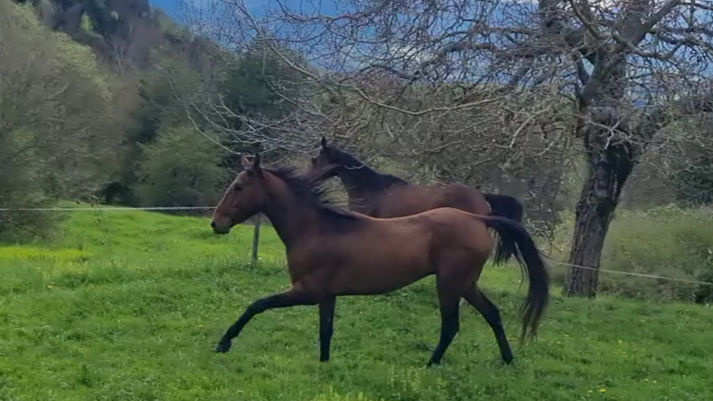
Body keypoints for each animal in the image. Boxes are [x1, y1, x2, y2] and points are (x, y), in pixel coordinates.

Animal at [210, 153, 550, 367]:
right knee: (492, 314)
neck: (316, 228)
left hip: (450, 284)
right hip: (466, 284)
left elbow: (256, 305)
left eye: (239, 186)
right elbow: (325, 330)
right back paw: (507, 360)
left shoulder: (307, 291)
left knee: (451, 325)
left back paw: (430, 364)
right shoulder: (327, 296)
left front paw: (224, 343)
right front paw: (324, 365)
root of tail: (479, 217)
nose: (216, 224)